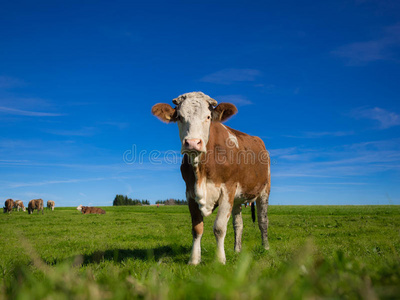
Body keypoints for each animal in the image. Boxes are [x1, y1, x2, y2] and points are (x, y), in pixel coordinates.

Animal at [152, 91, 270, 264]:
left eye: (208, 117)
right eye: (179, 117)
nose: (192, 143)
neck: (201, 171)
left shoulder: (228, 189)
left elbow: (219, 228)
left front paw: (220, 260)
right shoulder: (190, 192)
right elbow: (197, 228)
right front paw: (194, 260)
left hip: (264, 190)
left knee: (263, 221)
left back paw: (266, 247)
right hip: (238, 199)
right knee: (238, 224)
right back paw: (237, 250)